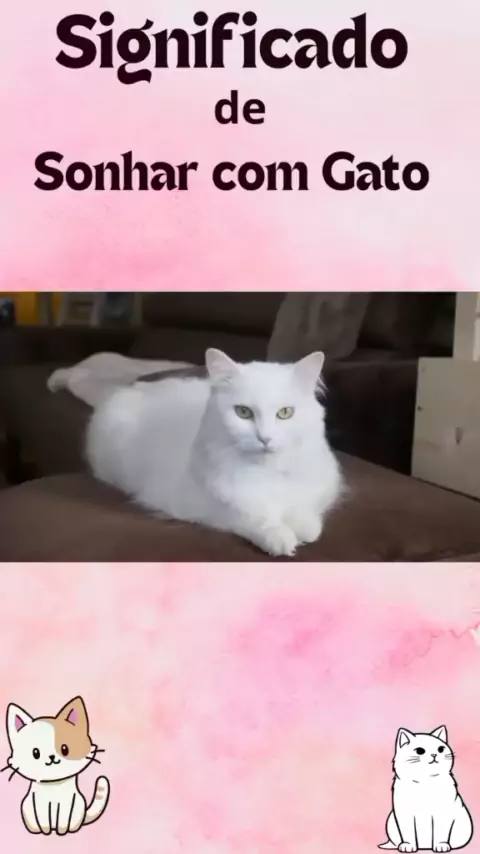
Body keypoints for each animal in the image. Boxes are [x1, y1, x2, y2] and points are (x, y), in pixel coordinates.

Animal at [4, 696, 110, 835]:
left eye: (65, 749)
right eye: (35, 753)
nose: (51, 757)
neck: (53, 785)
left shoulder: (68, 804)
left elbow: (63, 819)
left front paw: (62, 830)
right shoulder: (38, 803)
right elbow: (43, 819)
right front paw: (45, 830)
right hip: (27, 808)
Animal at [86, 348, 343, 557]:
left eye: (285, 413)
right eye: (243, 412)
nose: (265, 438)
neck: (264, 472)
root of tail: (129, 390)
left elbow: (302, 506)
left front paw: (305, 528)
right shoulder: (209, 507)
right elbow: (253, 518)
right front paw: (280, 538)